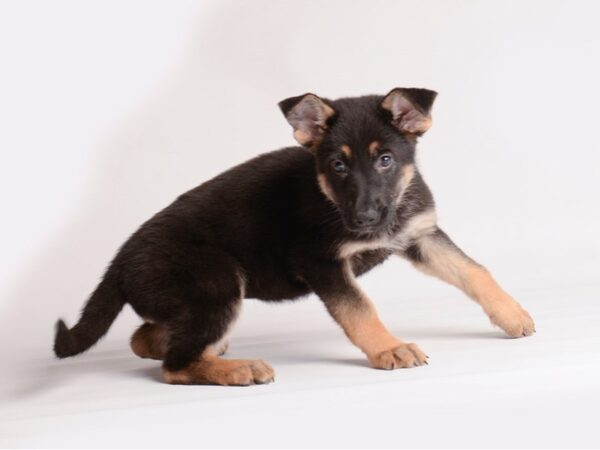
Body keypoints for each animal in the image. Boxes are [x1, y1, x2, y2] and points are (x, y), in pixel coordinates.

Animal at [54, 89, 536, 386]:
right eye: (338, 165)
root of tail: (117, 266)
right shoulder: (321, 262)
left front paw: (512, 315)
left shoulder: (421, 236)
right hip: (217, 279)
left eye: (385, 159)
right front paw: (390, 348)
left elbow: (475, 271)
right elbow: (360, 309)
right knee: (175, 365)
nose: (364, 219)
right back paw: (237, 369)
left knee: (149, 340)